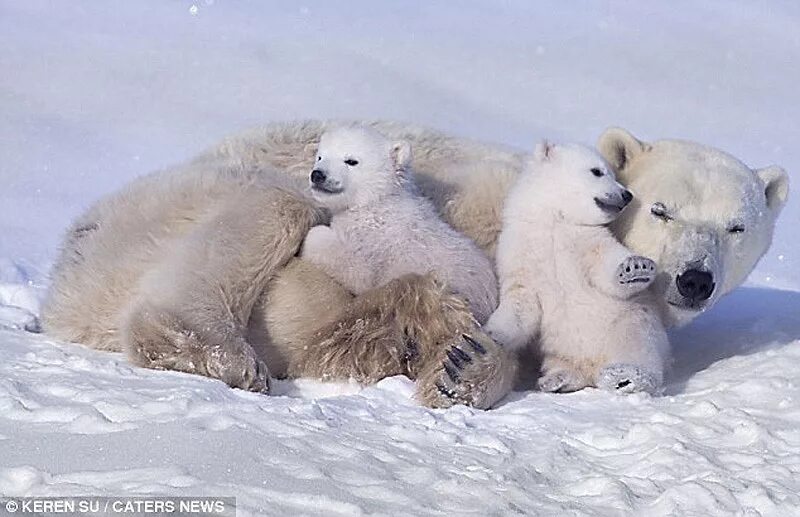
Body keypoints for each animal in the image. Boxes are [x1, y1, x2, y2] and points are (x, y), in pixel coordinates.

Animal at [302, 126, 496, 322]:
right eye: (320, 156)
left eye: (351, 161)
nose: (317, 175)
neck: (377, 203)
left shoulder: (376, 244)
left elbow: (358, 273)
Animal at [488, 141, 668, 392]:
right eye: (597, 171)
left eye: (613, 174)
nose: (627, 195)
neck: (554, 221)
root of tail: (593, 365)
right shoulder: (519, 249)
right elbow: (521, 297)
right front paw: (493, 333)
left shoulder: (586, 239)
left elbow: (605, 264)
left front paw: (636, 268)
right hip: (557, 346)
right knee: (561, 361)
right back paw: (556, 379)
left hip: (629, 322)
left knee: (637, 346)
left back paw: (624, 376)